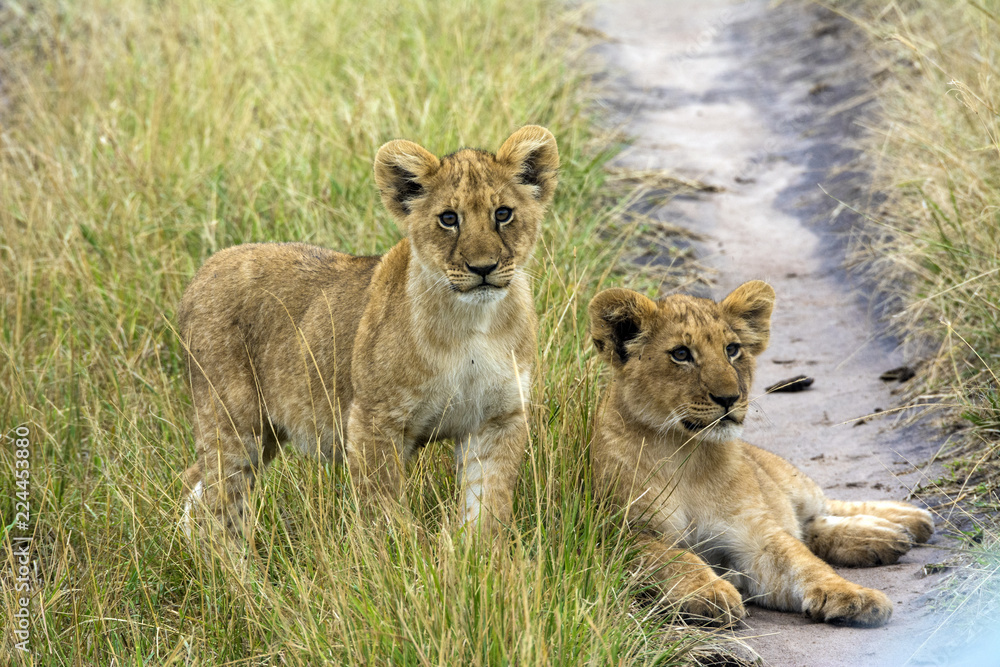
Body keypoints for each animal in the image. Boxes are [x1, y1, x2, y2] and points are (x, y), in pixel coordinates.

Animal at [178, 125, 559, 540]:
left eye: (503, 213)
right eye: (448, 218)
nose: (483, 268)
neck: (472, 323)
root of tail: (204, 271)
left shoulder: (497, 419)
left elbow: (488, 506)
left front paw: (478, 554)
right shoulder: (374, 420)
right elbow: (384, 512)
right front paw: (404, 554)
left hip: (265, 433)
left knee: (199, 482)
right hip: (232, 420)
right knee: (220, 501)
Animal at [588, 281, 933, 627]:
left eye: (732, 349)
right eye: (681, 354)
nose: (730, 398)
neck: (687, 454)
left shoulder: (754, 534)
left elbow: (804, 563)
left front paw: (854, 596)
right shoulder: (619, 535)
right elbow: (671, 557)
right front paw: (710, 592)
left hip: (784, 478)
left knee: (818, 509)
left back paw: (906, 521)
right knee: (809, 527)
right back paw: (887, 537)